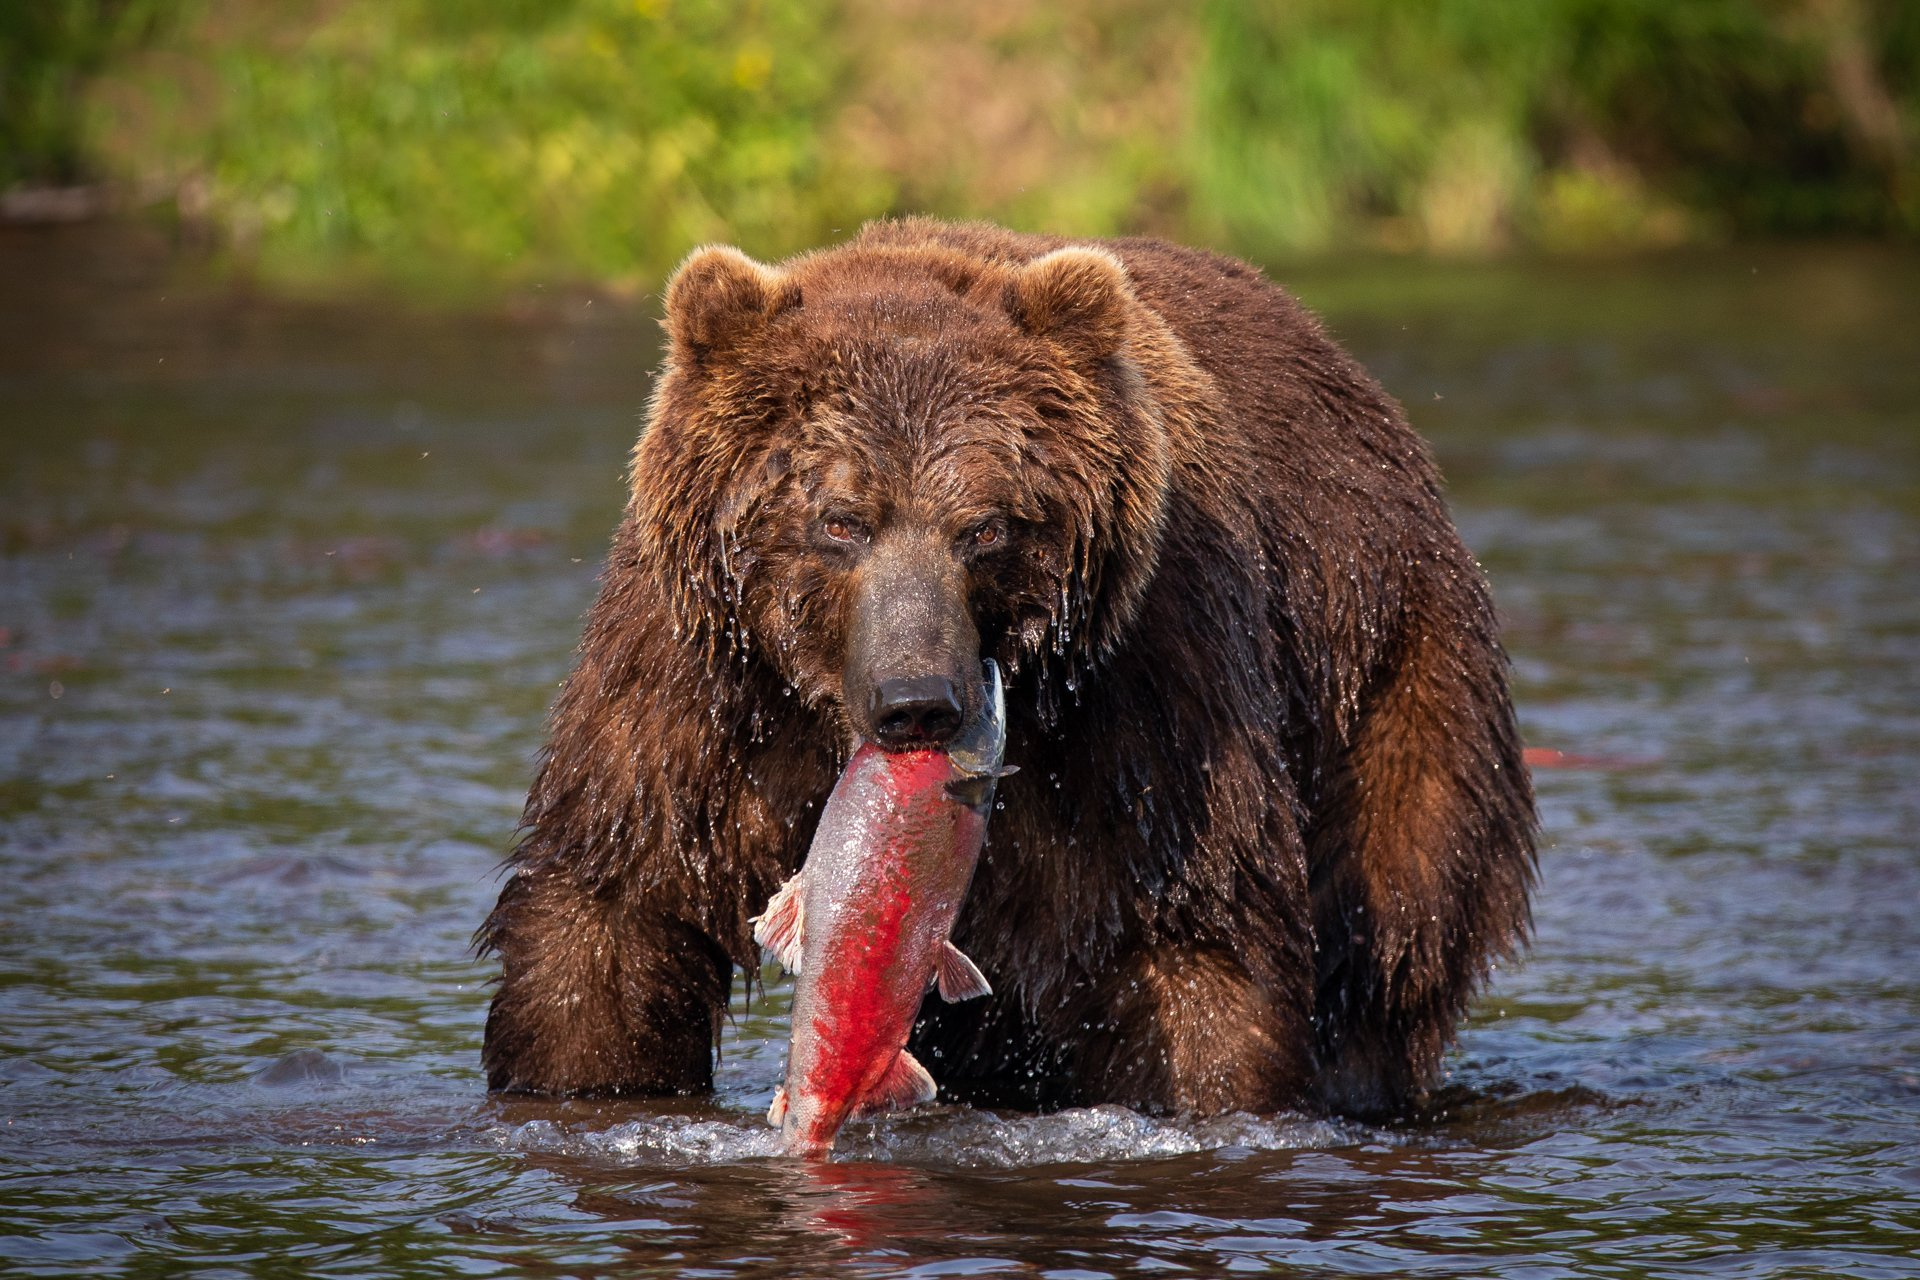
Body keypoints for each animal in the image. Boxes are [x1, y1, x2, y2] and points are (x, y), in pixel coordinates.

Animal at [483, 220, 1543, 1120]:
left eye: (984, 527)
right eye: (841, 519)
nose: (917, 703)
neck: (825, 716)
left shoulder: (1144, 703)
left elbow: (1196, 947)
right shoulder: (696, 693)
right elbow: (612, 920)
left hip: (1394, 679)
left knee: (1392, 931)